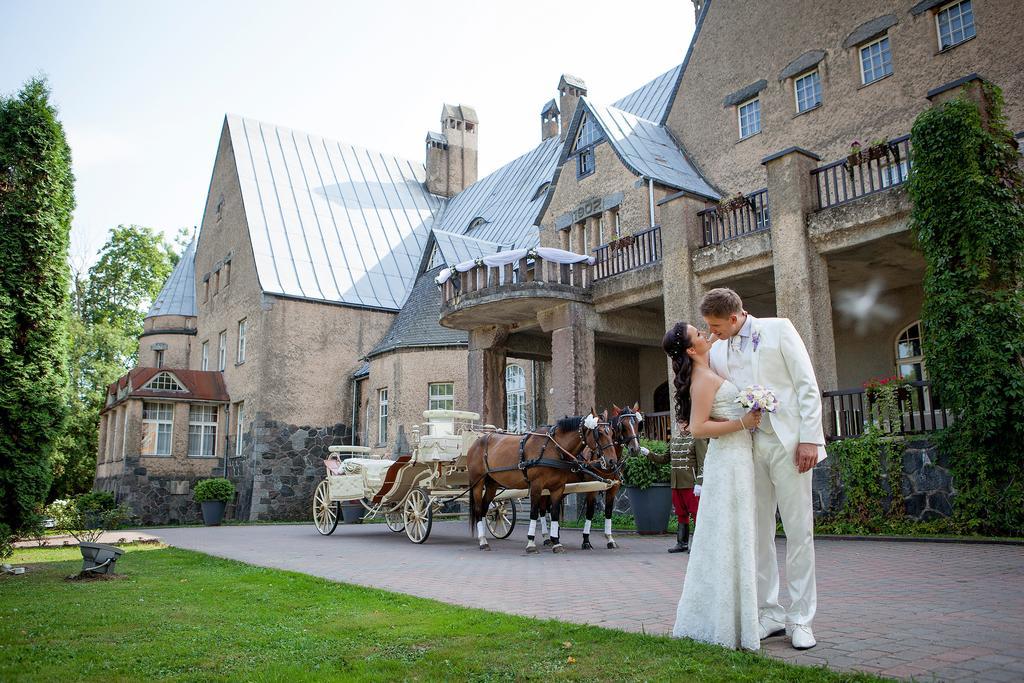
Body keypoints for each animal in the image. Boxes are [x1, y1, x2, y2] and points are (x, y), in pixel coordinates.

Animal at [466, 411, 614, 557]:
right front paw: (531, 543)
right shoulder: (536, 486)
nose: (612, 461)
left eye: (611, 432)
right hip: (478, 483)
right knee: (478, 509)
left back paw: (484, 538)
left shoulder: (558, 488)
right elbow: (533, 513)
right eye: (600, 433)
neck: (554, 448)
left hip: (492, 484)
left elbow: (554, 514)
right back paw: (482, 541)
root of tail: (477, 441)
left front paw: (556, 543)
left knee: (484, 509)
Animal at [540, 405, 643, 548]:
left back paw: (554, 535)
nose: (636, 449)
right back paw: (546, 536)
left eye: (638, 423)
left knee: (550, 506)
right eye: (623, 425)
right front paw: (586, 540)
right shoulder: (592, 488)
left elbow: (608, 512)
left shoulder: (613, 488)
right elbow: (589, 512)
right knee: (543, 508)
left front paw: (610, 539)